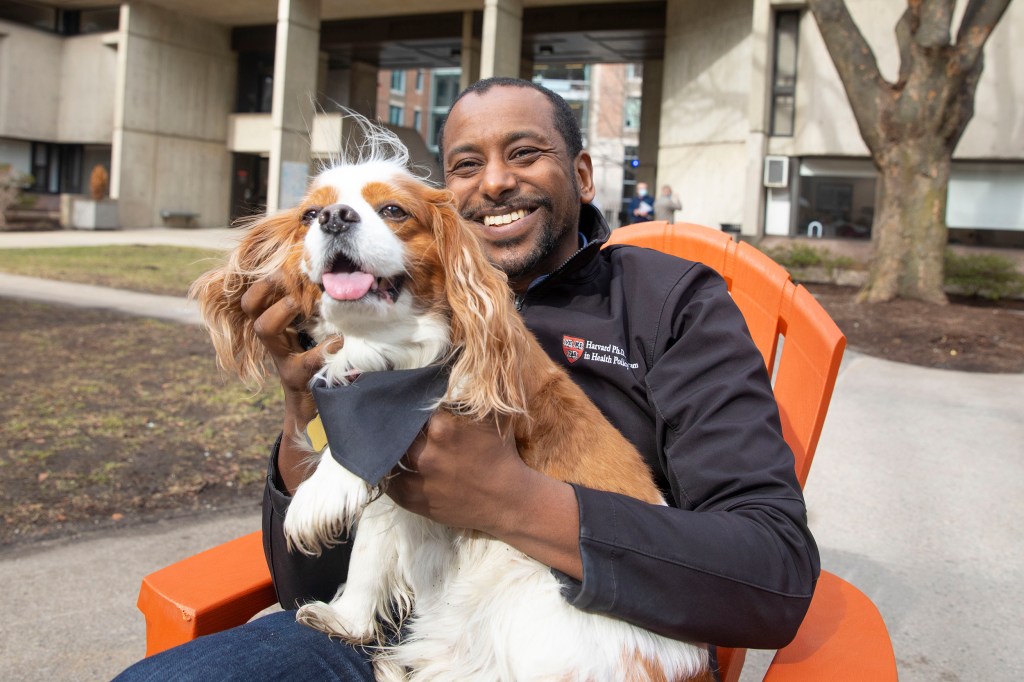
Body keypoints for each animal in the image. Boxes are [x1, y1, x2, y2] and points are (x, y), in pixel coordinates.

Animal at [188, 124, 708, 675]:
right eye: (309, 215)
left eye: (393, 210)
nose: (333, 217)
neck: (380, 340)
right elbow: (368, 551)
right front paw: (346, 620)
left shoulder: (429, 398)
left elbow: (361, 438)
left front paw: (317, 495)